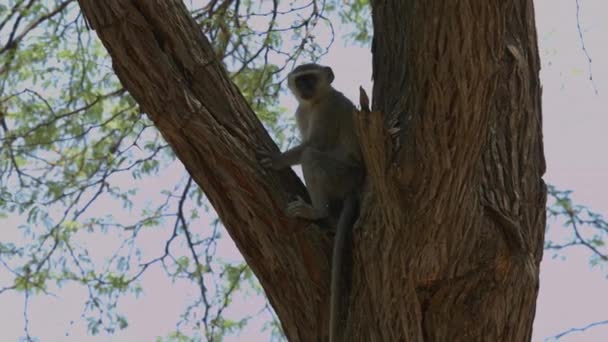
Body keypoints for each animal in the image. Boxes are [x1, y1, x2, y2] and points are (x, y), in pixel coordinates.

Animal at [258, 62, 364, 340]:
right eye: (300, 80)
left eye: (311, 78)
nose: (305, 88)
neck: (314, 102)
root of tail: (357, 183)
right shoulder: (301, 111)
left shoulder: (329, 108)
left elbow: (313, 145)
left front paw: (277, 160)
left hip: (341, 174)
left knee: (311, 156)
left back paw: (316, 212)